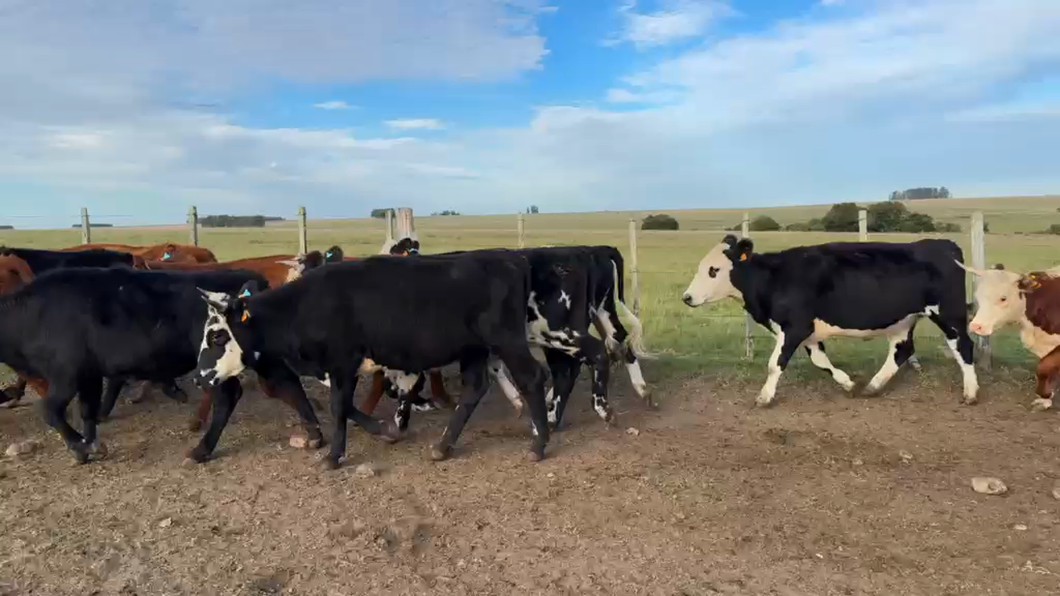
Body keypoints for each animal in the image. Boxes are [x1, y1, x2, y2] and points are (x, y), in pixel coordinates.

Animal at [0, 266, 331, 464]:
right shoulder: (89, 375)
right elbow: (88, 412)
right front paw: (90, 444)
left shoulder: (67, 375)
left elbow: (50, 411)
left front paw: (79, 448)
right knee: (285, 383)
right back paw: (314, 434)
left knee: (231, 396)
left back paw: (200, 450)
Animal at [196, 251, 548, 469]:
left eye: (217, 336)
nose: (199, 377)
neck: (305, 306)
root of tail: (510, 258)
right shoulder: (341, 368)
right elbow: (345, 406)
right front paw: (385, 430)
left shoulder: (342, 361)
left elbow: (339, 407)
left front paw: (334, 457)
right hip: (473, 349)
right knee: (474, 388)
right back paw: (443, 446)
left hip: (506, 340)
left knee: (532, 378)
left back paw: (539, 445)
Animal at [682, 235, 979, 407]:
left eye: (714, 270)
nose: (687, 297)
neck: (774, 278)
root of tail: (943, 244)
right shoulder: (808, 333)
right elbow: (820, 361)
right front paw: (848, 383)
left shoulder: (794, 327)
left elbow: (774, 364)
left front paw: (764, 397)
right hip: (903, 321)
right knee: (902, 350)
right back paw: (872, 386)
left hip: (948, 314)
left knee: (963, 346)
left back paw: (971, 392)